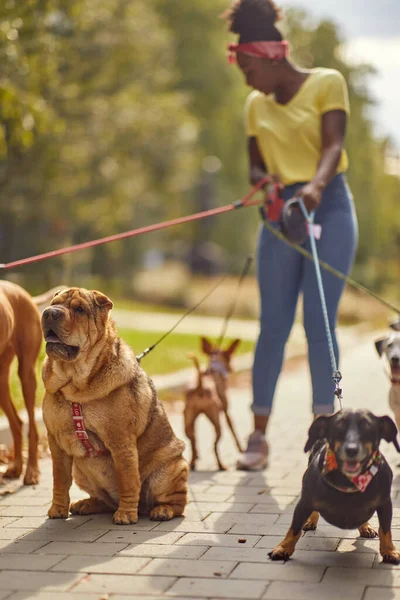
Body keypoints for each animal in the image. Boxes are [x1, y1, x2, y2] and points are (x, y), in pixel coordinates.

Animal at [0, 280, 59, 482]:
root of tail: (25, 294)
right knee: (17, 423)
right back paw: (16, 466)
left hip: (27, 373)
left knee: (32, 427)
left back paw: (31, 471)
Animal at [41, 288, 188, 524]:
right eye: (53, 304)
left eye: (79, 309)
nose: (48, 313)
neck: (75, 385)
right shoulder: (56, 442)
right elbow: (60, 479)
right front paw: (57, 509)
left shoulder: (120, 441)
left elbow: (127, 479)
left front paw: (126, 514)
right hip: (80, 471)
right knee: (105, 500)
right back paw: (85, 504)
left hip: (170, 471)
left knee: (178, 502)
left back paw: (162, 510)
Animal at [184, 338, 242, 468]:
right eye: (229, 358)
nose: (233, 368)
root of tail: (200, 387)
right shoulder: (226, 412)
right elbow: (233, 430)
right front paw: (241, 448)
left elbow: (195, 441)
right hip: (216, 422)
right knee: (214, 446)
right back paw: (221, 465)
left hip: (187, 422)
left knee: (193, 441)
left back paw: (193, 461)